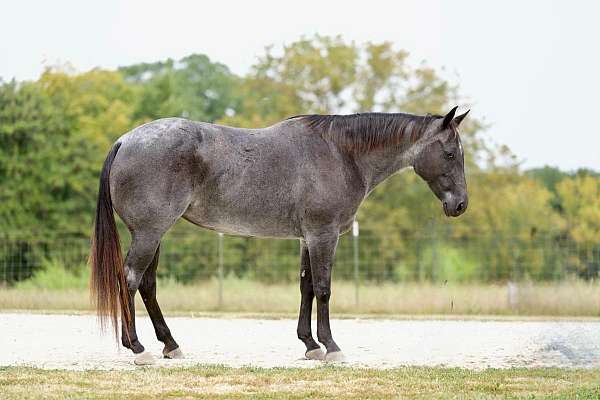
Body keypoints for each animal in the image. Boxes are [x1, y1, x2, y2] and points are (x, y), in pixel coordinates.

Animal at [91, 104, 472, 364]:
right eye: (450, 153)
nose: (460, 205)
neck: (341, 154)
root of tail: (125, 140)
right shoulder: (323, 235)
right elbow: (324, 289)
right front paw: (331, 347)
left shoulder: (307, 238)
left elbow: (306, 287)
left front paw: (310, 345)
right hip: (149, 233)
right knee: (130, 279)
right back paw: (138, 348)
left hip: (155, 234)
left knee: (147, 284)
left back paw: (170, 344)